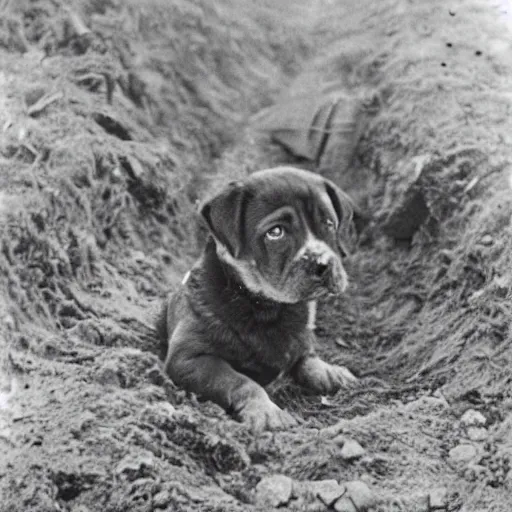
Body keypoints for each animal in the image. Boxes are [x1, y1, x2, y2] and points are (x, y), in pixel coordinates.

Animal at [158, 166, 358, 430]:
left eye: (329, 224)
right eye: (275, 232)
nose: (323, 264)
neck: (267, 308)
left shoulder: (300, 337)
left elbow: (307, 357)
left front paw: (329, 372)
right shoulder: (188, 358)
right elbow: (239, 380)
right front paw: (266, 410)